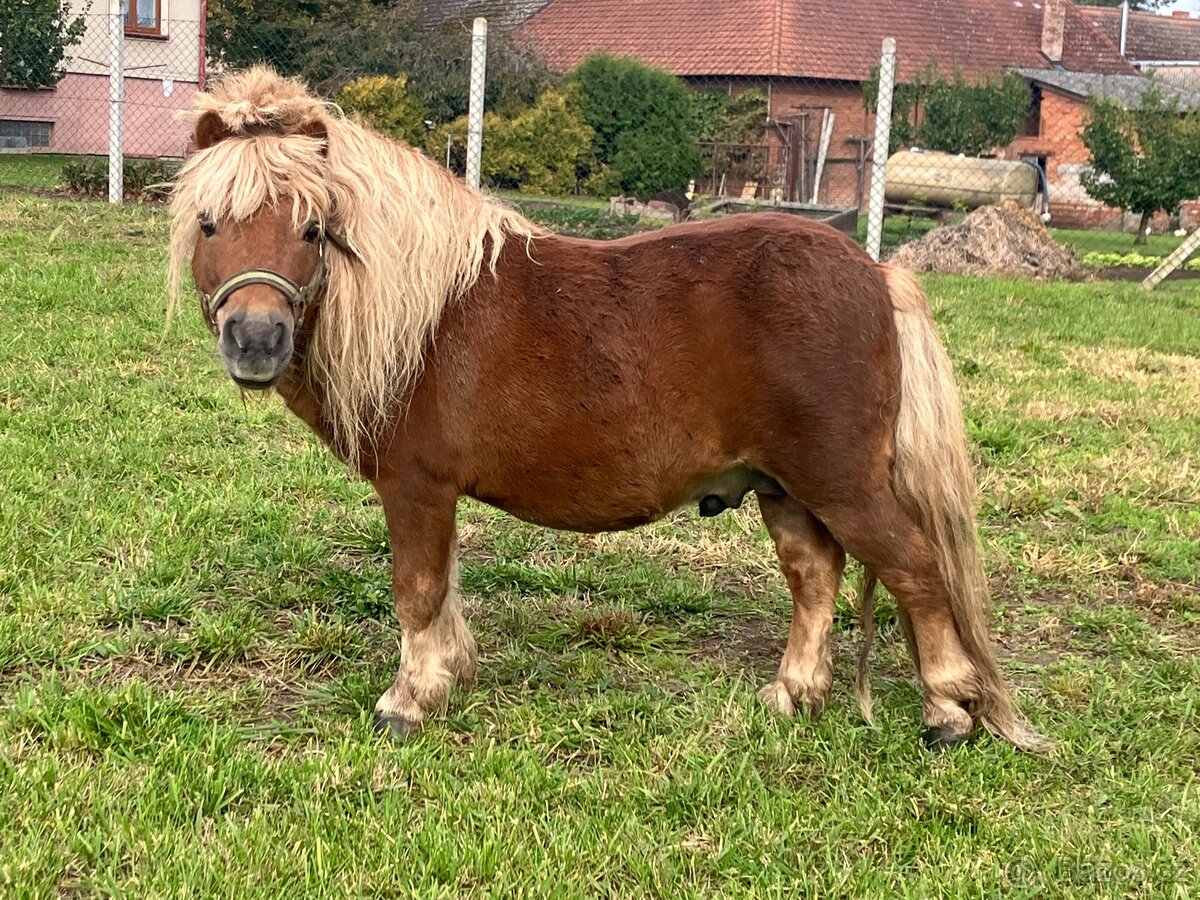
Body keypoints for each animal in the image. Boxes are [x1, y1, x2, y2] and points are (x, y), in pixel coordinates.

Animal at [168, 67, 1044, 751]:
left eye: (312, 228)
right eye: (210, 223)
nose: (256, 338)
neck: (427, 314)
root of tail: (875, 271)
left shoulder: (417, 487)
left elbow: (417, 589)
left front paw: (409, 701)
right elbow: (442, 588)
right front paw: (447, 675)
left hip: (843, 482)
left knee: (916, 569)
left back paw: (947, 712)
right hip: (786, 487)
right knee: (815, 577)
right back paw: (793, 694)